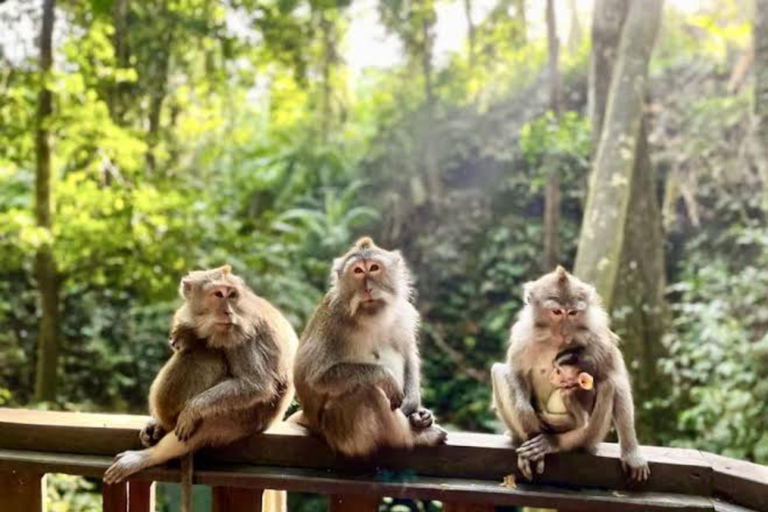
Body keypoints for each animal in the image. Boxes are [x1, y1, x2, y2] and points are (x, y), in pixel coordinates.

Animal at [104, 265, 299, 492]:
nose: (228, 312)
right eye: (219, 294)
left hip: (244, 418)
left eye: (232, 295)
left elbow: (256, 383)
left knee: (205, 355)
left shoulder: (243, 332)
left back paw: (149, 456)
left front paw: (192, 410)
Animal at [291, 237, 446, 457]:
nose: (368, 288)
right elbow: (316, 377)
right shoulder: (331, 321)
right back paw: (414, 437)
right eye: (357, 271)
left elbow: (408, 355)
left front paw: (415, 407)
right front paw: (386, 378)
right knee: (368, 392)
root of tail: (311, 422)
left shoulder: (403, 314)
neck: (370, 317)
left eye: (374, 268)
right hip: (340, 431)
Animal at [491, 266, 650, 482]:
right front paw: (527, 418)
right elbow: (516, 372)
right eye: (557, 312)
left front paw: (632, 454)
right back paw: (525, 437)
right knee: (498, 371)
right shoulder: (523, 335)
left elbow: (618, 381)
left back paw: (553, 442)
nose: (565, 331)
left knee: (608, 385)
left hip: (590, 435)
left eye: (573, 313)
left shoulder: (598, 335)